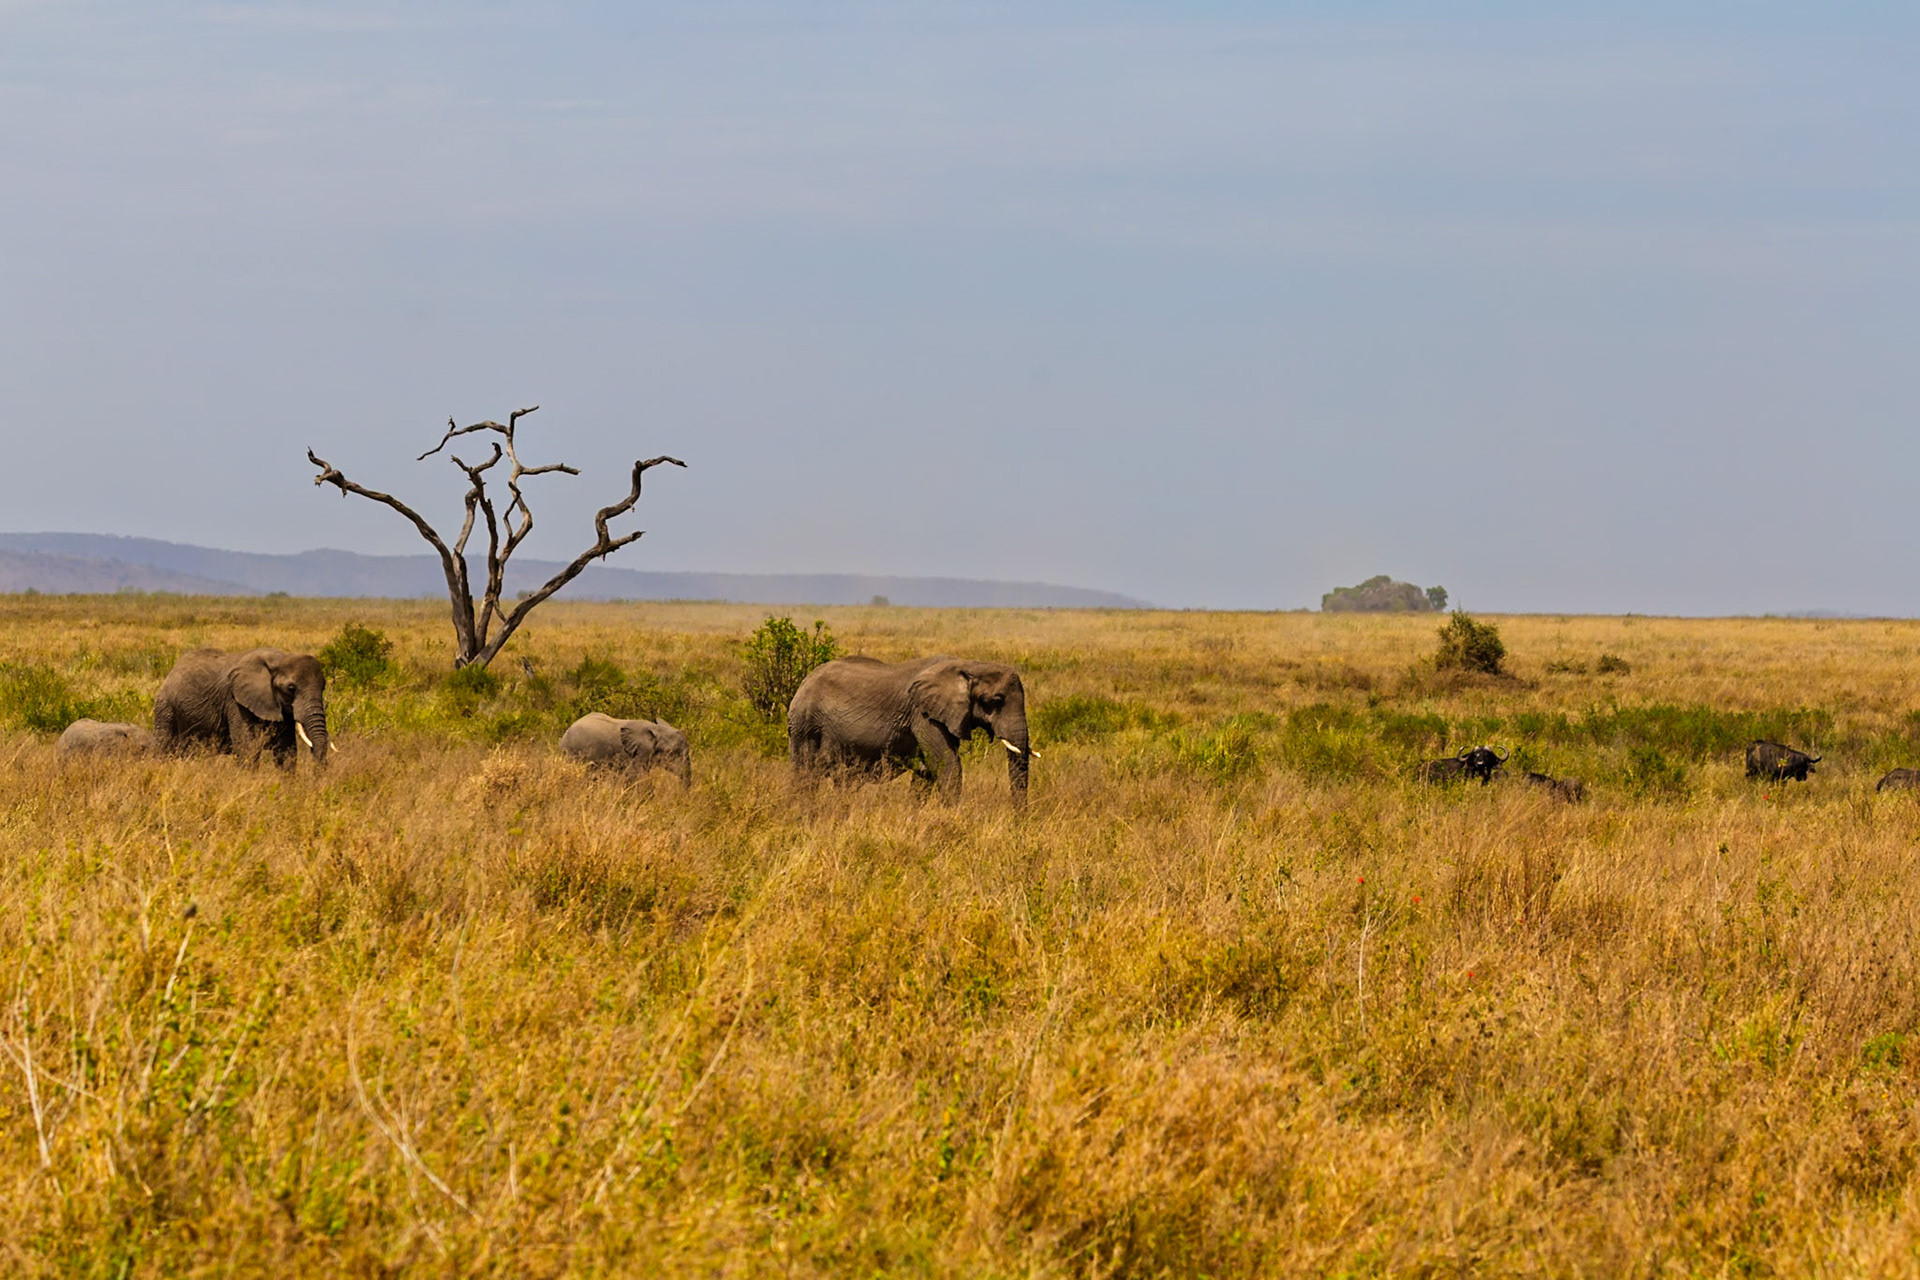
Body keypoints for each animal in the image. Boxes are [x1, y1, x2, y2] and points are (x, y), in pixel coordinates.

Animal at [153, 647, 330, 767]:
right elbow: (247, 748)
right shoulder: (235, 702)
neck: (278, 659)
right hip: (165, 707)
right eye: (291, 688)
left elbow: (286, 751)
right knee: (163, 746)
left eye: (323, 687)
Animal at [787, 656, 1031, 803]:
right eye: (995, 701)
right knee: (806, 775)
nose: (1018, 825)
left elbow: (925, 773)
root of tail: (803, 682)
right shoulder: (923, 715)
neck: (970, 665)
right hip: (805, 725)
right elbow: (947, 765)